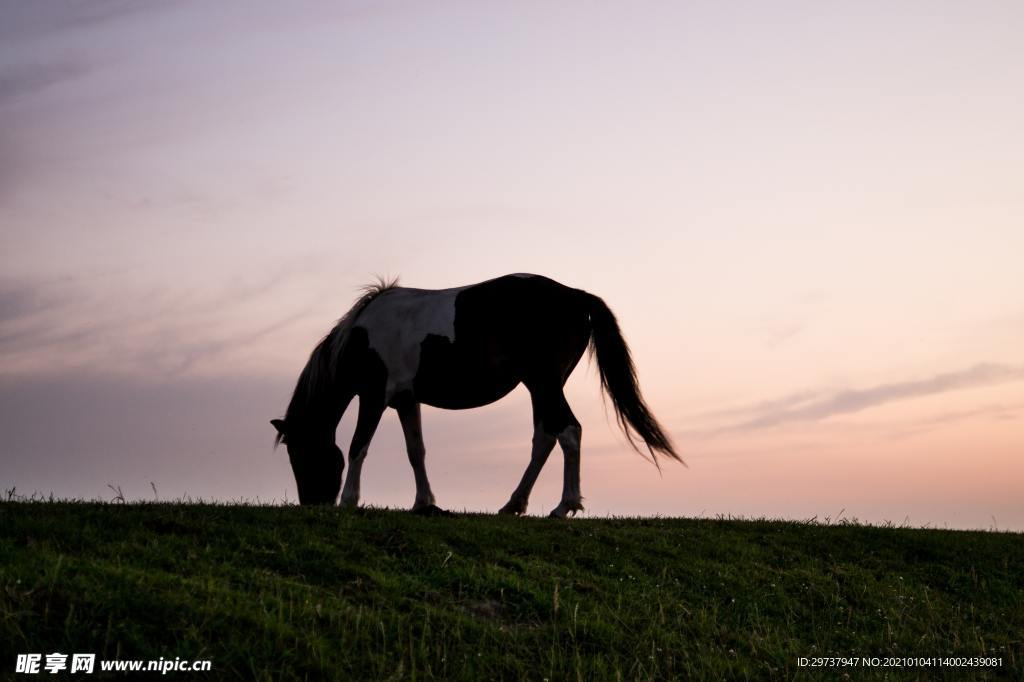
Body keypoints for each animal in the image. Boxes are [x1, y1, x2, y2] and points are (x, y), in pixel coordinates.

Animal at [270, 270, 679, 516]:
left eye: (299, 455)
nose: (313, 504)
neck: (362, 335)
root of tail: (575, 296)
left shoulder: (374, 396)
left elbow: (359, 446)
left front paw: (349, 501)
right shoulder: (405, 400)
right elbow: (416, 451)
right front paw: (425, 503)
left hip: (545, 382)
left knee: (568, 432)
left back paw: (565, 506)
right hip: (540, 386)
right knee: (545, 437)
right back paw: (514, 504)